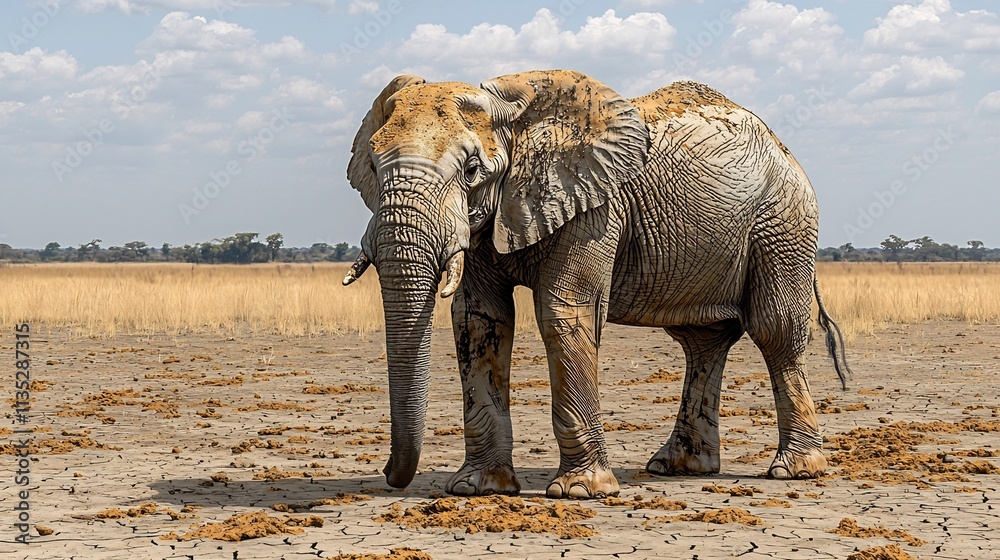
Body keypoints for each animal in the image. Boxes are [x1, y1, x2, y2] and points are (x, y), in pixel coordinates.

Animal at [342, 69, 851, 499]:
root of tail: (784, 148)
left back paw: (795, 471)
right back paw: (678, 467)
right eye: (373, 164)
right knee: (702, 341)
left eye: (470, 170)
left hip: (783, 222)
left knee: (775, 330)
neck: (516, 114)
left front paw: (580, 492)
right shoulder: (491, 218)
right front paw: (476, 489)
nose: (389, 477)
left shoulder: (595, 205)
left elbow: (563, 311)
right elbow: (478, 320)